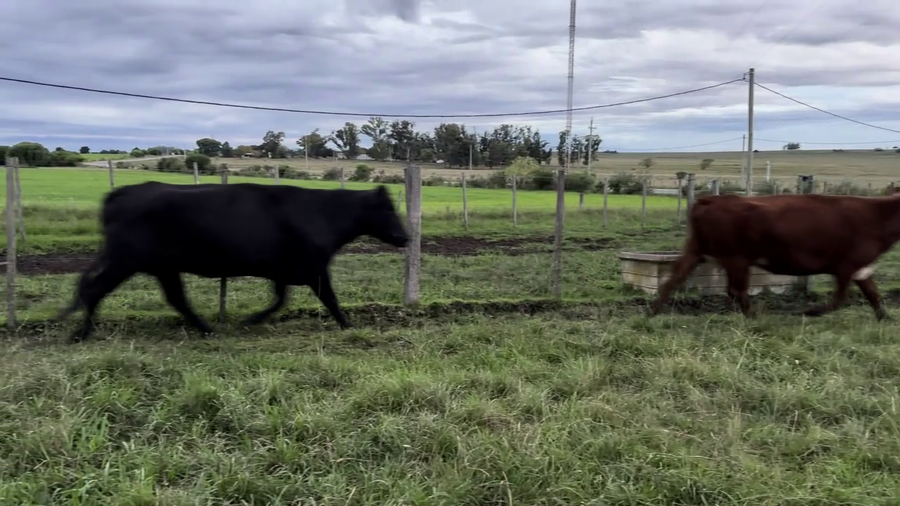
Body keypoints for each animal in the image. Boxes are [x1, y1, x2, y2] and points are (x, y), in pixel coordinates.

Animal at [54, 181, 410, 343]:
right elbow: (330, 299)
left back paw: (207, 329)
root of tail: (122, 192)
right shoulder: (314, 268)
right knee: (94, 290)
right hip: (126, 260)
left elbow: (280, 300)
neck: (323, 214)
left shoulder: (283, 270)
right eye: (387, 209)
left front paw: (250, 321)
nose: (406, 237)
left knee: (176, 299)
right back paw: (80, 334)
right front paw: (349, 327)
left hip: (162, 267)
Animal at [648, 192, 900, 320]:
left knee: (673, 279)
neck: (877, 215)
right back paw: (753, 316)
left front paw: (885, 318)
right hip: (736, 258)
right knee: (736, 290)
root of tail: (712, 198)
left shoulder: (862, 267)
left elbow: (873, 294)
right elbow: (840, 299)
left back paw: (653, 311)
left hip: (698, 250)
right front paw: (811, 311)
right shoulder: (847, 265)